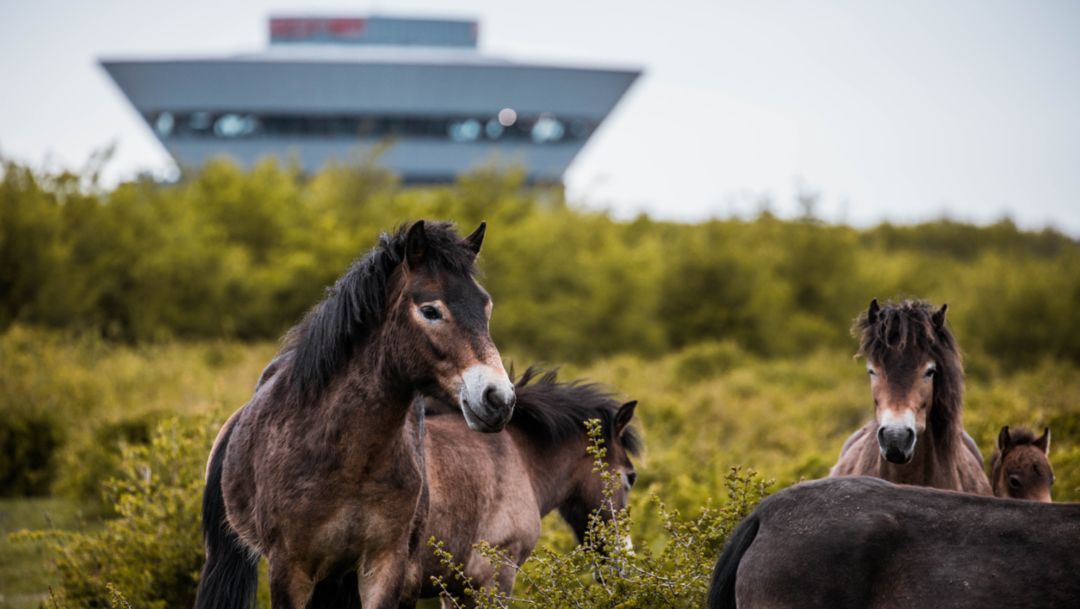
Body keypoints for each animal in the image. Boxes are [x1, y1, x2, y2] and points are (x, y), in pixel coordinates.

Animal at [195, 221, 517, 609]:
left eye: (486, 306)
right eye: (430, 310)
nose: (498, 398)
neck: (350, 459)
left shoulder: (384, 565)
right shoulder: (289, 567)